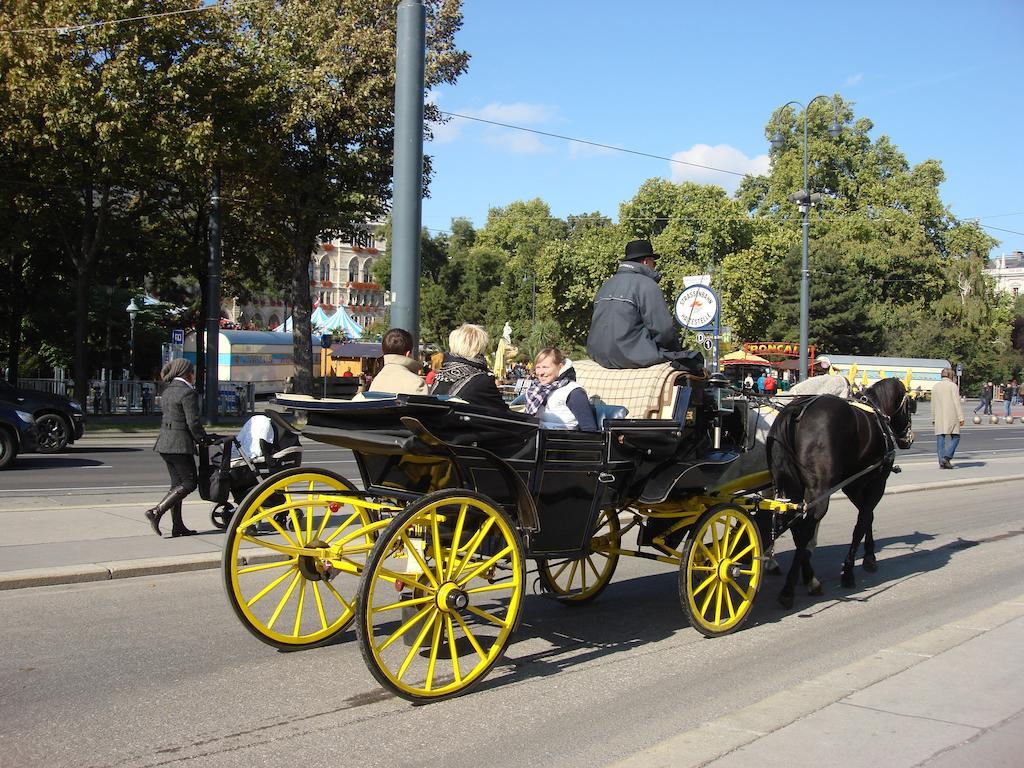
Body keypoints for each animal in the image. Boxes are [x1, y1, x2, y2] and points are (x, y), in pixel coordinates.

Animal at [765, 376, 917, 606]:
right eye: (910, 406)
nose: (909, 439)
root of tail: (798, 409)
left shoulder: (852, 485)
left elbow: (867, 516)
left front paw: (869, 557)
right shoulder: (877, 482)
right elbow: (862, 522)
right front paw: (849, 571)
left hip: (791, 489)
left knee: (794, 525)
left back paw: (806, 577)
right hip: (819, 492)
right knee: (805, 527)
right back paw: (790, 588)